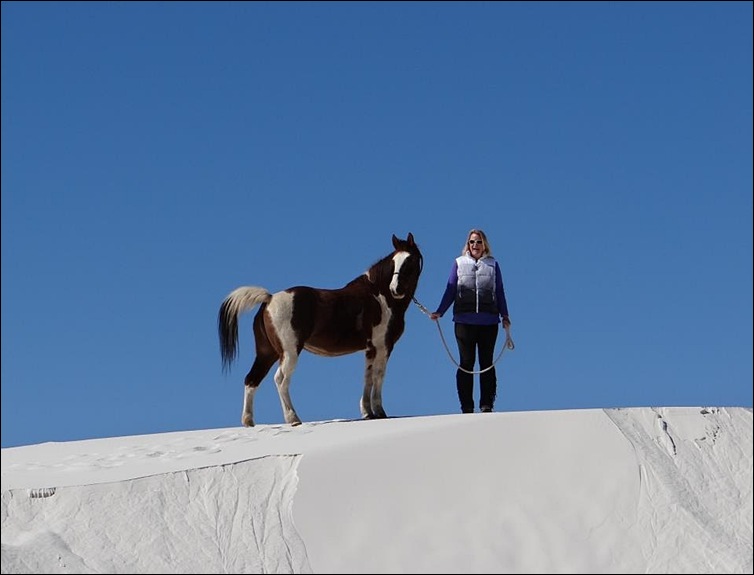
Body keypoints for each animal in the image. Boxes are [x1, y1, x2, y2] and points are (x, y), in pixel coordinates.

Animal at [218, 232, 423, 427]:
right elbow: (378, 376)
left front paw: (367, 412)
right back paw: (293, 418)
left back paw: (248, 421)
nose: (396, 289)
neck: (380, 296)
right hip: (289, 353)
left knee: (251, 380)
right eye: (395, 262)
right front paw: (379, 412)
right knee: (280, 379)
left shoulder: (370, 349)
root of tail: (269, 299)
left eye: (410, 260)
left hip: (266, 353)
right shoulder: (383, 347)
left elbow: (368, 377)